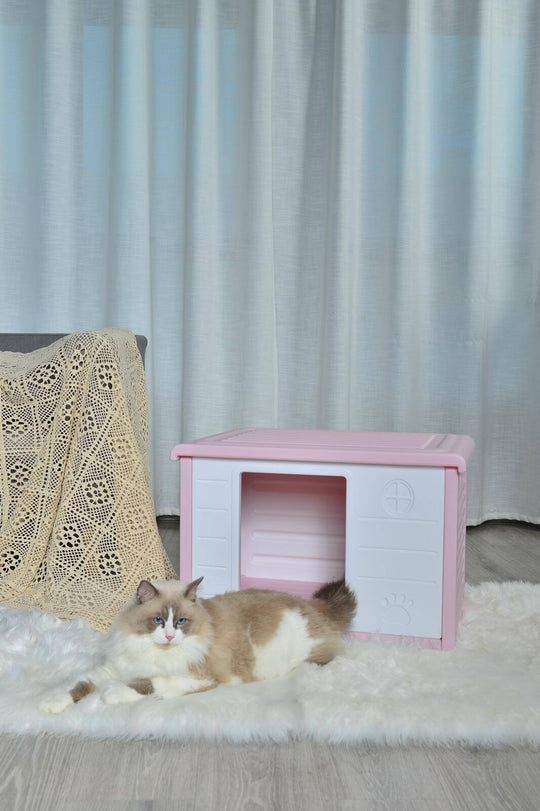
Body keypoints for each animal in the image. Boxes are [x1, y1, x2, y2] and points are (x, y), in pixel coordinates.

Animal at [41, 576, 354, 712]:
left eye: (180, 622)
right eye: (158, 620)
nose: (169, 636)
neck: (151, 650)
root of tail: (313, 605)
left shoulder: (196, 678)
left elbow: (146, 683)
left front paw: (111, 695)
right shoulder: (113, 669)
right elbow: (77, 686)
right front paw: (52, 705)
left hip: (302, 658)